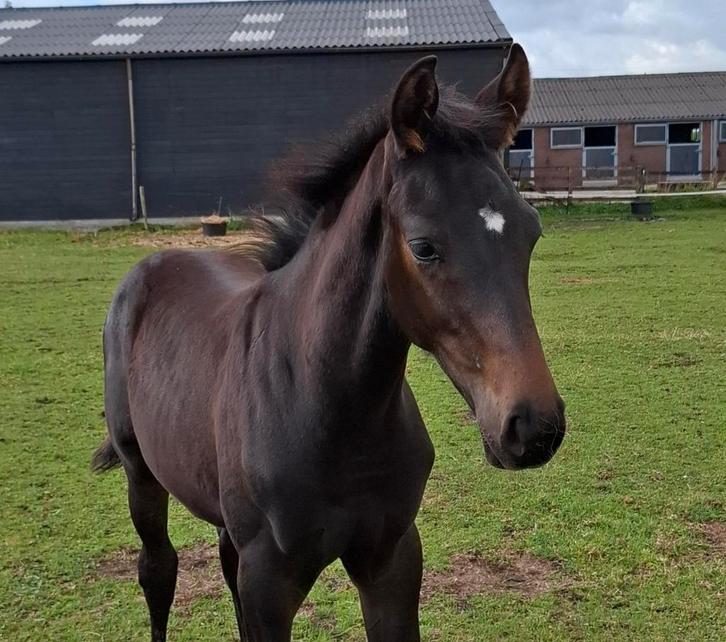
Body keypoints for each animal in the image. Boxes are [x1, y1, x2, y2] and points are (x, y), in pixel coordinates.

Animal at [93, 43, 565, 641]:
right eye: (424, 246)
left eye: (532, 233)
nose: (533, 426)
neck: (328, 405)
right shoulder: (269, 581)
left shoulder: (391, 559)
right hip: (142, 475)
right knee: (158, 570)